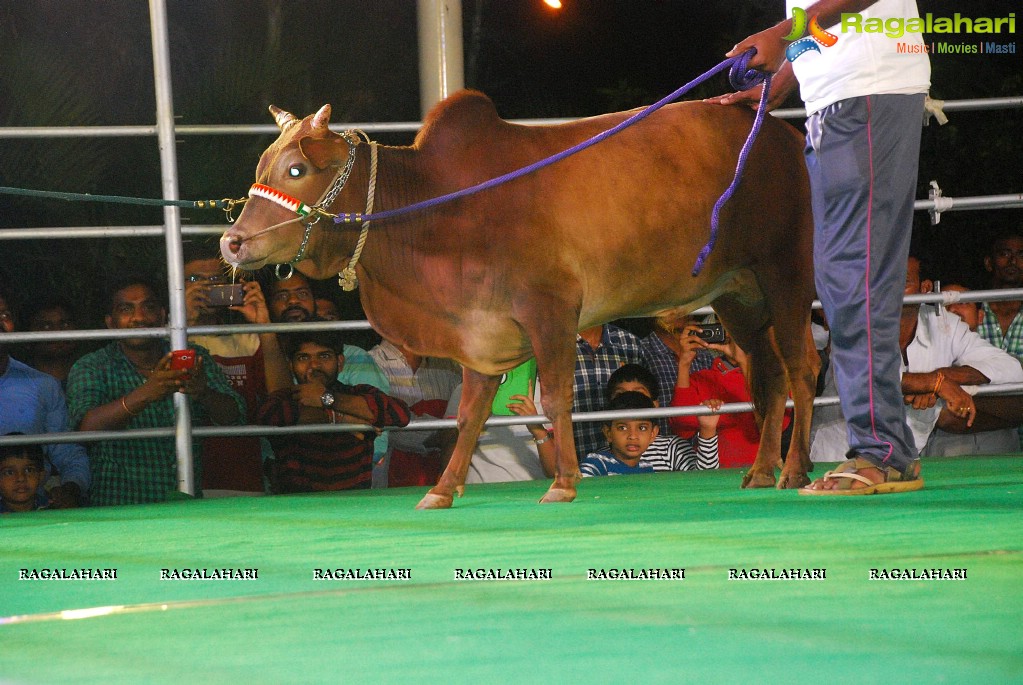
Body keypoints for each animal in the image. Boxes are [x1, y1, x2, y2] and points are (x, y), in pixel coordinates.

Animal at [219, 89, 818, 509]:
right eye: (261, 170)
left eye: (297, 169)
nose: (233, 241)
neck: (438, 207)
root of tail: (784, 137)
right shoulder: (478, 330)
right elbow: (469, 415)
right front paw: (442, 488)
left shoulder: (550, 311)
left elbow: (556, 397)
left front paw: (564, 482)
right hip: (738, 295)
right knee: (768, 374)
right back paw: (761, 469)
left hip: (786, 271)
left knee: (800, 366)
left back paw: (794, 470)